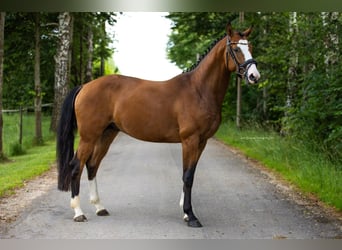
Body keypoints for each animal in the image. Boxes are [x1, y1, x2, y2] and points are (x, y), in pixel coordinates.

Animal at [56, 22, 260, 228]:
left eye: (250, 47)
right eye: (236, 49)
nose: (254, 76)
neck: (199, 90)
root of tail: (85, 86)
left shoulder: (201, 142)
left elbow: (190, 174)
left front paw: (185, 212)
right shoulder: (190, 140)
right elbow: (187, 176)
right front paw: (191, 216)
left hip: (107, 134)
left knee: (92, 165)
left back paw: (100, 207)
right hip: (89, 136)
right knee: (76, 166)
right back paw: (78, 212)